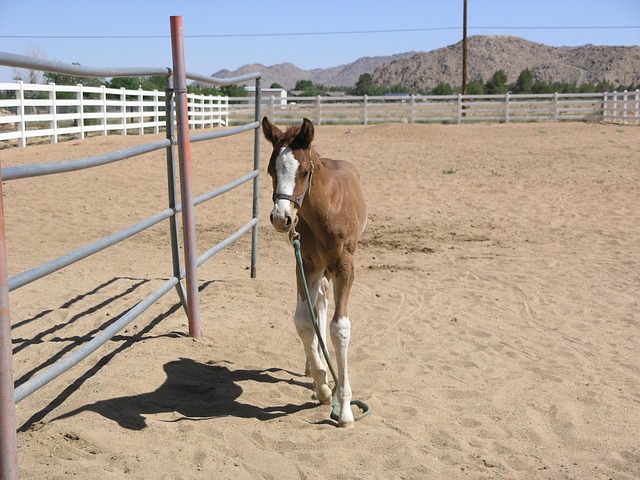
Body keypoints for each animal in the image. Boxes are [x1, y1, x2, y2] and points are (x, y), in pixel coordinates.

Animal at [262, 117, 367, 428]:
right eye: (271, 170)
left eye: (305, 171)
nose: (281, 218)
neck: (325, 209)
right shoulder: (306, 262)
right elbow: (303, 321)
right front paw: (322, 386)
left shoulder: (345, 265)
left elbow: (340, 328)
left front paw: (344, 409)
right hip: (319, 267)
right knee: (319, 302)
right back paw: (314, 364)